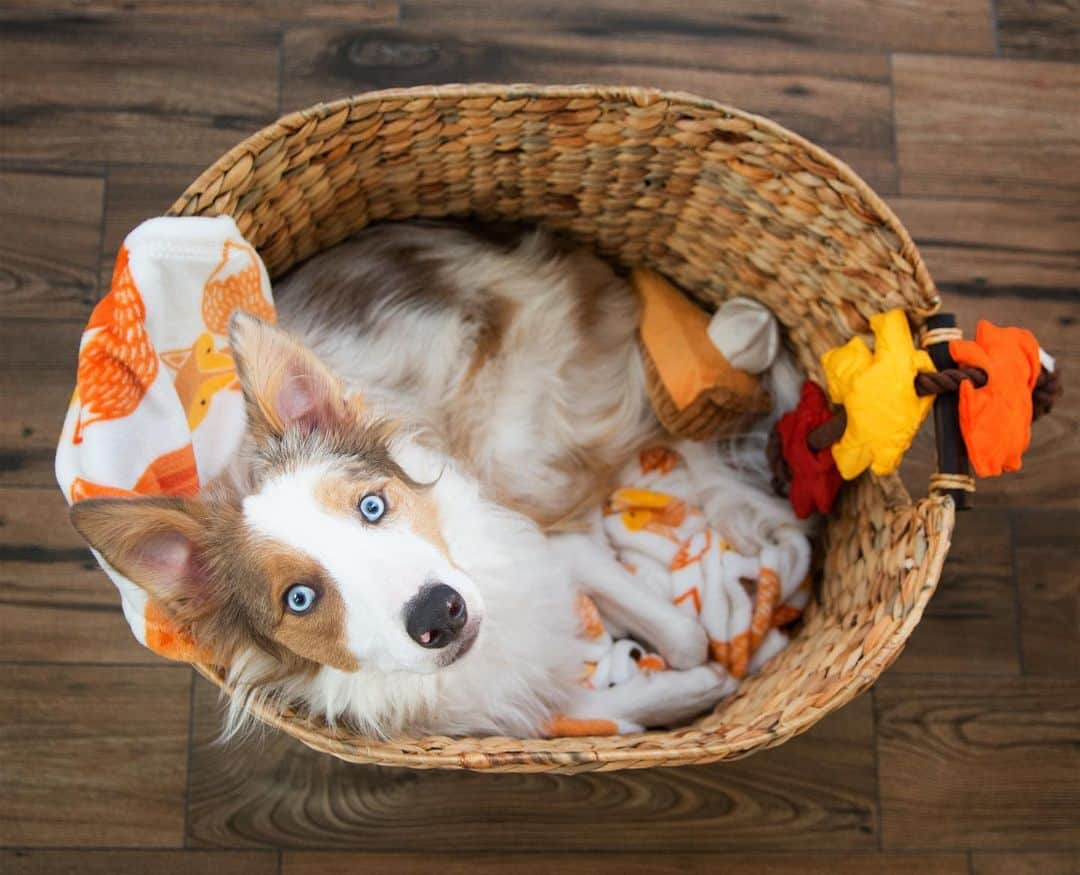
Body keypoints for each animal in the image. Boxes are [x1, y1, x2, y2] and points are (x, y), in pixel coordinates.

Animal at [71, 220, 790, 734]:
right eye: (298, 598)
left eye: (371, 506)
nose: (439, 614)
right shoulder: (483, 702)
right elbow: (579, 705)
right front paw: (686, 689)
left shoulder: (530, 535)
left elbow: (682, 632)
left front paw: (701, 669)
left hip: (516, 449)